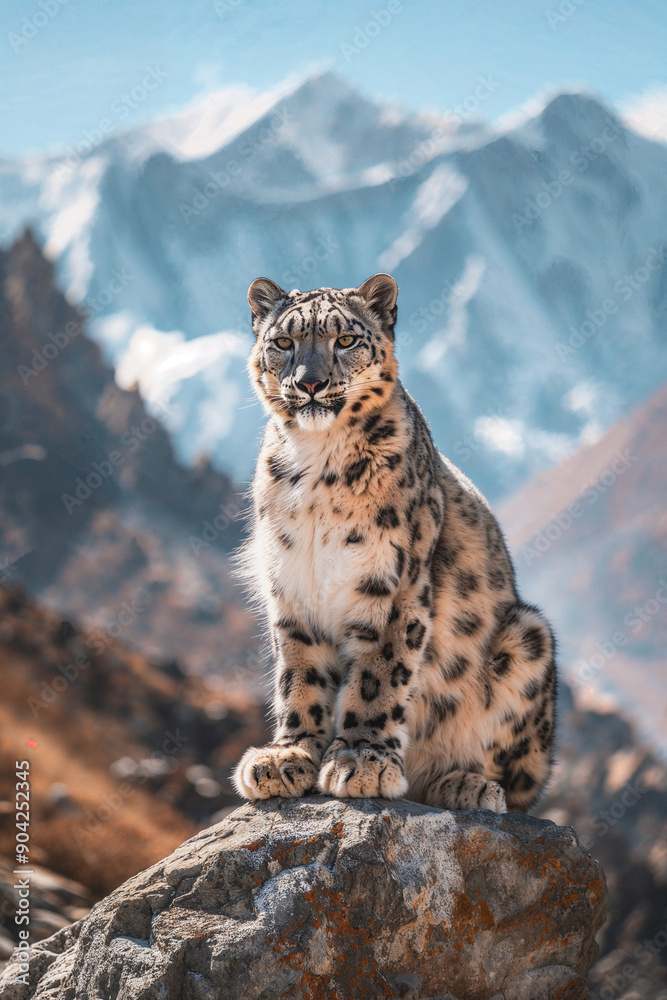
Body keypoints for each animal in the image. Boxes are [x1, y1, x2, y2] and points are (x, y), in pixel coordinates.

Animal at [232, 272, 556, 813]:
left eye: (345, 340)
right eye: (283, 342)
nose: (310, 383)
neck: (317, 463)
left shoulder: (393, 582)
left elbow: (379, 674)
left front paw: (361, 761)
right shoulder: (292, 584)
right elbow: (300, 673)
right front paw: (288, 756)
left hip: (529, 636)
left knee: (511, 782)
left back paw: (463, 783)